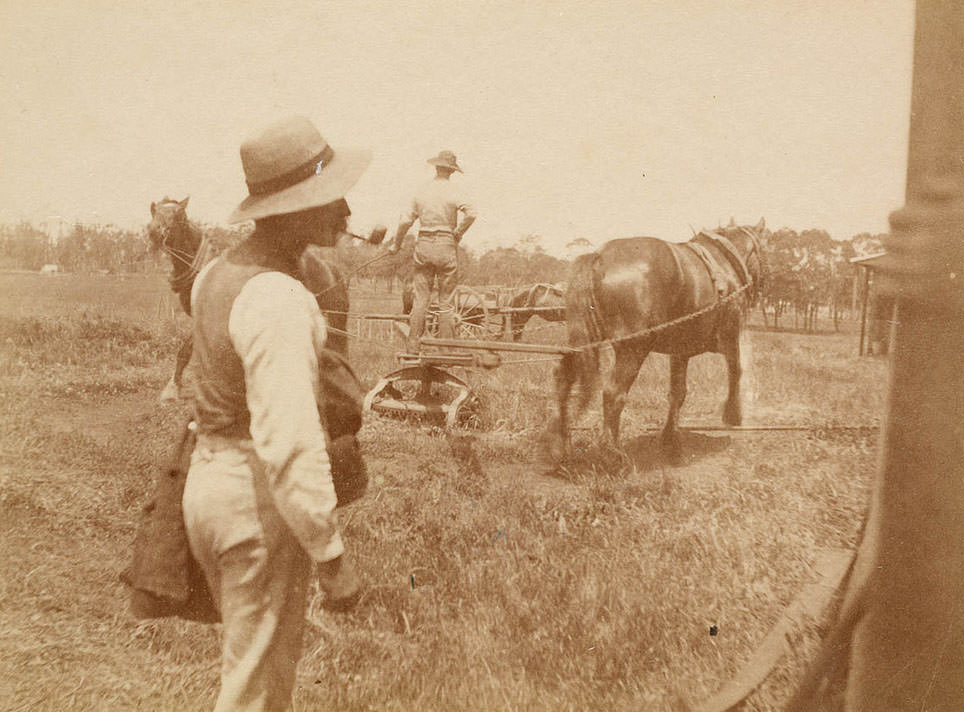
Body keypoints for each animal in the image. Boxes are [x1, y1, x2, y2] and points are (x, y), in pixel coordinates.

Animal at [147, 197, 350, 400]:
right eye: (154, 212)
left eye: (179, 215)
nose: (154, 231)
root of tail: (332, 268)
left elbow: (186, 350)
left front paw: (173, 388)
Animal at [548, 218, 768, 462]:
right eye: (764, 250)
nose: (760, 286)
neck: (724, 262)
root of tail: (599, 256)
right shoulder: (730, 337)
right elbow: (736, 371)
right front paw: (732, 414)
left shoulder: (680, 352)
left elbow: (678, 393)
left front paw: (671, 439)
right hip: (634, 349)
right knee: (614, 393)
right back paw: (612, 453)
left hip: (584, 341)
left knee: (563, 378)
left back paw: (557, 445)